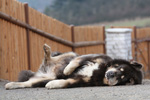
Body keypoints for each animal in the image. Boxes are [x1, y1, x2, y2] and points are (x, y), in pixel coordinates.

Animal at [4, 44, 143, 89]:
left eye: (123, 78)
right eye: (120, 68)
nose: (111, 74)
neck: (101, 71)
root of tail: (44, 71)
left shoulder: (81, 80)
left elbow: (66, 82)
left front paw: (53, 84)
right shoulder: (98, 57)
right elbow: (77, 61)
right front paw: (67, 70)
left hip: (40, 80)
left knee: (26, 83)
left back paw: (11, 85)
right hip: (70, 54)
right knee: (52, 58)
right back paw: (47, 51)